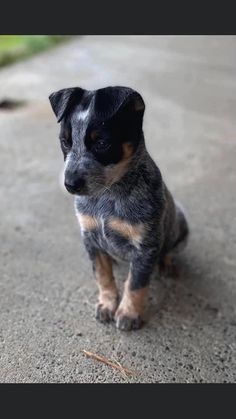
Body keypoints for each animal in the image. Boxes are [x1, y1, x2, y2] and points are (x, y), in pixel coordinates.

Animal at [48, 86, 189, 332]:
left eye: (102, 143)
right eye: (65, 142)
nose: (70, 184)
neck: (106, 198)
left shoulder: (145, 248)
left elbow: (135, 284)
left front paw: (128, 313)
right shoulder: (90, 238)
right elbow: (103, 276)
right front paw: (107, 303)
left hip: (181, 223)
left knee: (171, 249)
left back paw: (168, 264)